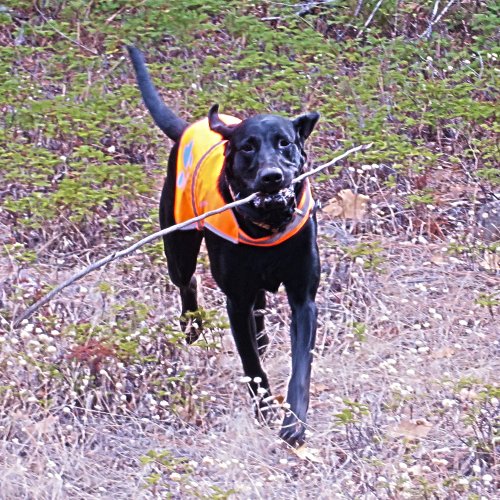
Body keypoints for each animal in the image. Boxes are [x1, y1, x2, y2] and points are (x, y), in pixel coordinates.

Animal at [129, 47, 320, 446]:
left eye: (285, 142)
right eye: (247, 147)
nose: (271, 177)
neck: (266, 227)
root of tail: (191, 127)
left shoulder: (303, 297)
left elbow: (300, 366)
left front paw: (293, 423)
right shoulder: (235, 299)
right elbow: (251, 365)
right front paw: (265, 410)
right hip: (179, 245)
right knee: (187, 282)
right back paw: (191, 326)